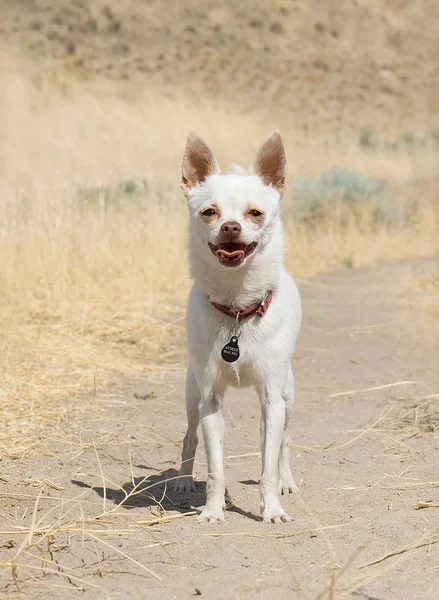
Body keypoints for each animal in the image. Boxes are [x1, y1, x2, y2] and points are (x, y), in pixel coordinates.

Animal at [175, 130, 302, 520]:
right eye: (208, 212)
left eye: (255, 213)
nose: (231, 226)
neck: (236, 309)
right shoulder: (210, 400)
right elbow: (215, 466)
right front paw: (213, 510)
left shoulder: (272, 399)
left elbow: (268, 464)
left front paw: (272, 509)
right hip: (192, 395)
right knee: (189, 437)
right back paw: (182, 481)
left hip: (286, 398)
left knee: (282, 444)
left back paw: (286, 482)